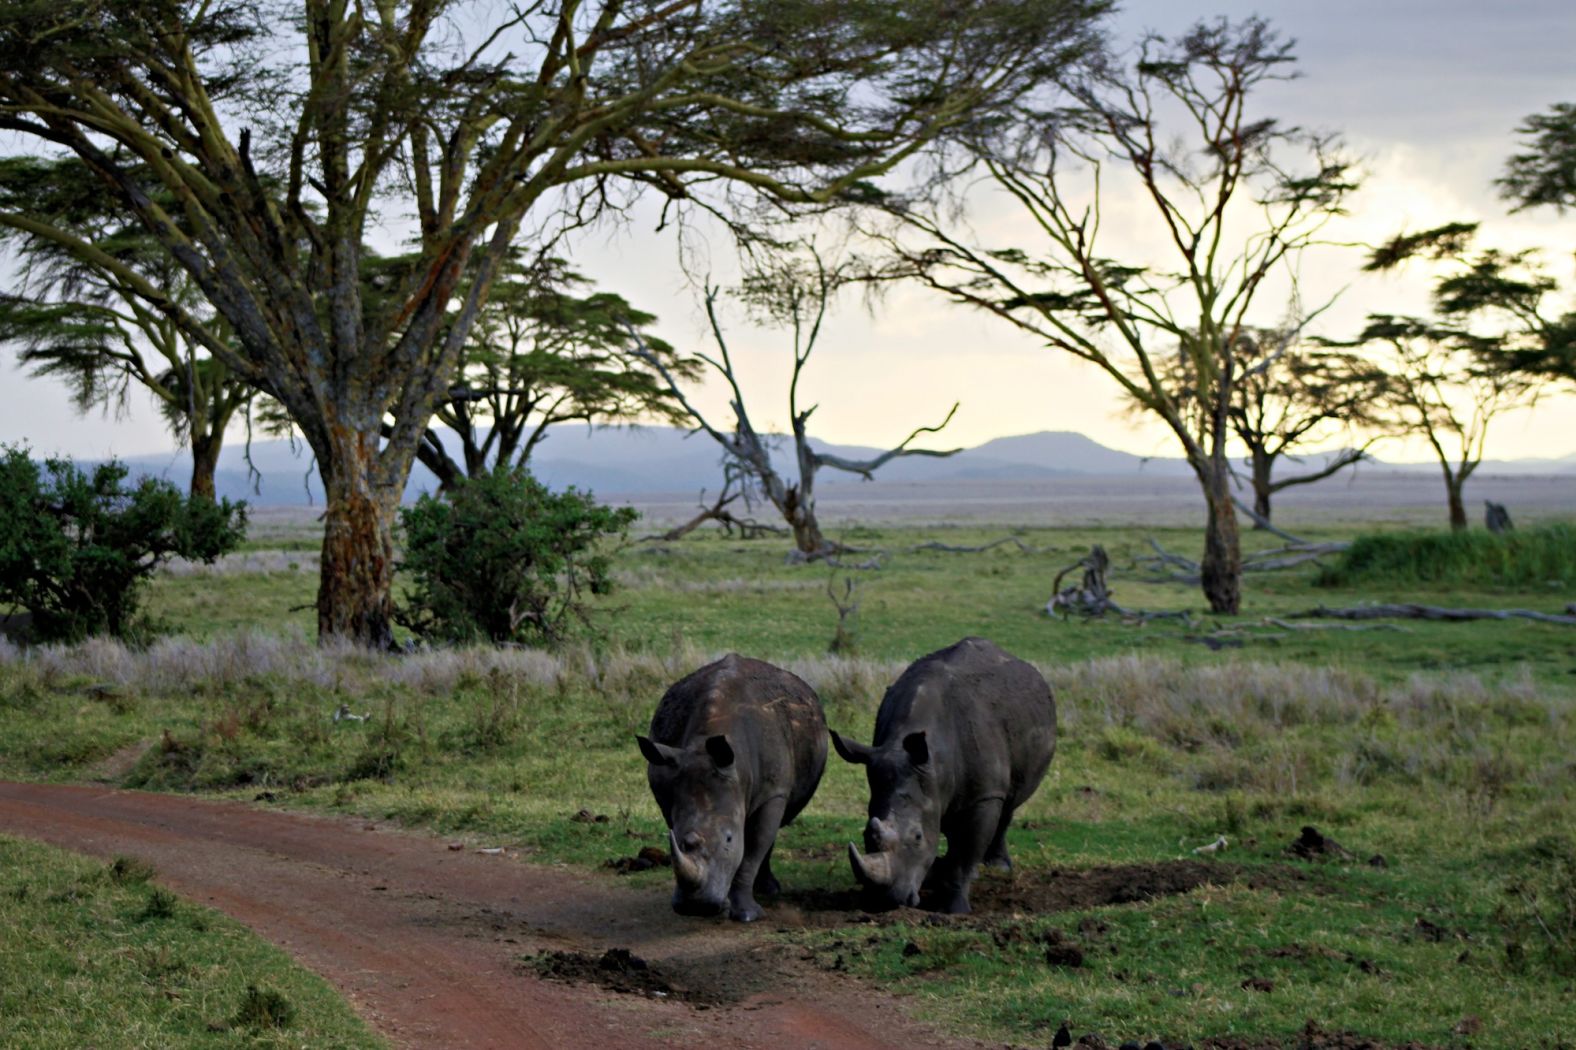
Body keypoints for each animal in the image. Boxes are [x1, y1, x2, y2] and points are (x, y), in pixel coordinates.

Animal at [633, 649, 832, 920]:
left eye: (728, 839)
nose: (696, 907)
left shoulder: (773, 792)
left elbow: (753, 849)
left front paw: (747, 915)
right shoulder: (668, 792)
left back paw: (768, 891)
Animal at [825, 633, 1059, 914]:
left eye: (917, 836)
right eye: (865, 835)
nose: (887, 901)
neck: (935, 766)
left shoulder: (984, 795)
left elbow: (965, 854)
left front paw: (956, 910)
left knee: (1010, 802)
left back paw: (997, 866)